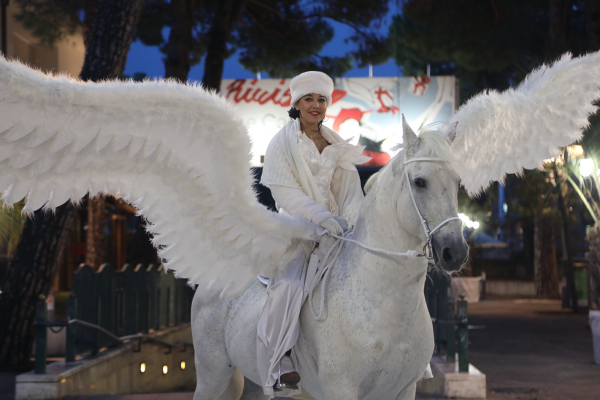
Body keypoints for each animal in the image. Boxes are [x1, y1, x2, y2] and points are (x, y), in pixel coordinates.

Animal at [191, 122, 468, 400]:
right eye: (420, 182)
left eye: (458, 182)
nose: (455, 252)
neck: (385, 302)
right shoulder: (341, 388)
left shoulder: (404, 390)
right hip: (212, 376)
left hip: (255, 381)